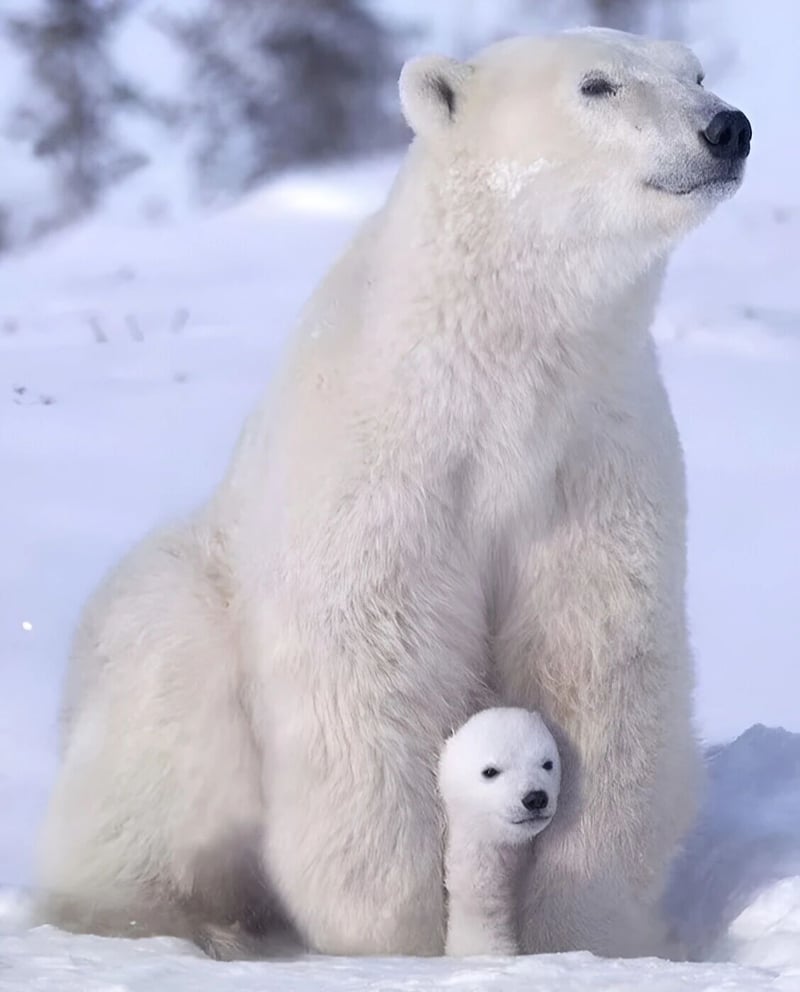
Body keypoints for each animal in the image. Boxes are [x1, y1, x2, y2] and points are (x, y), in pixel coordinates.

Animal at [37, 27, 751, 960]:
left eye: (694, 72)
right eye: (597, 85)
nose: (727, 127)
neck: (497, 375)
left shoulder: (591, 459)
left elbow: (599, 664)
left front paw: (582, 928)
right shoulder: (384, 466)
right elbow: (370, 669)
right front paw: (401, 936)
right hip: (168, 624)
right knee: (156, 734)